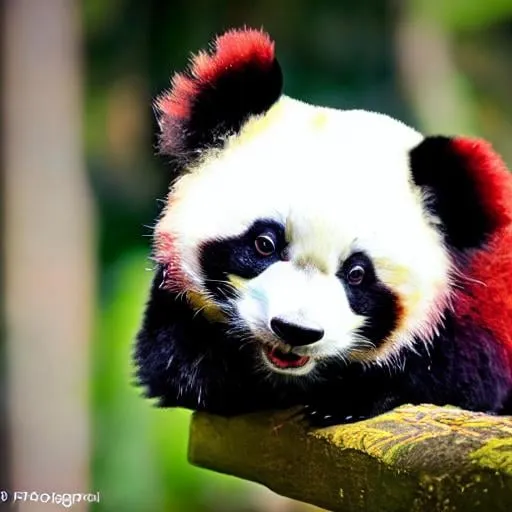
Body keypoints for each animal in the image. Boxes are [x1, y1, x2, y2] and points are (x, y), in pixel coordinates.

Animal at [134, 29, 512, 428]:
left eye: (357, 273)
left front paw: (343, 398)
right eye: (264, 244)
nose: (296, 331)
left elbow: (454, 380)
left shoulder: (477, 311)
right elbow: (172, 363)